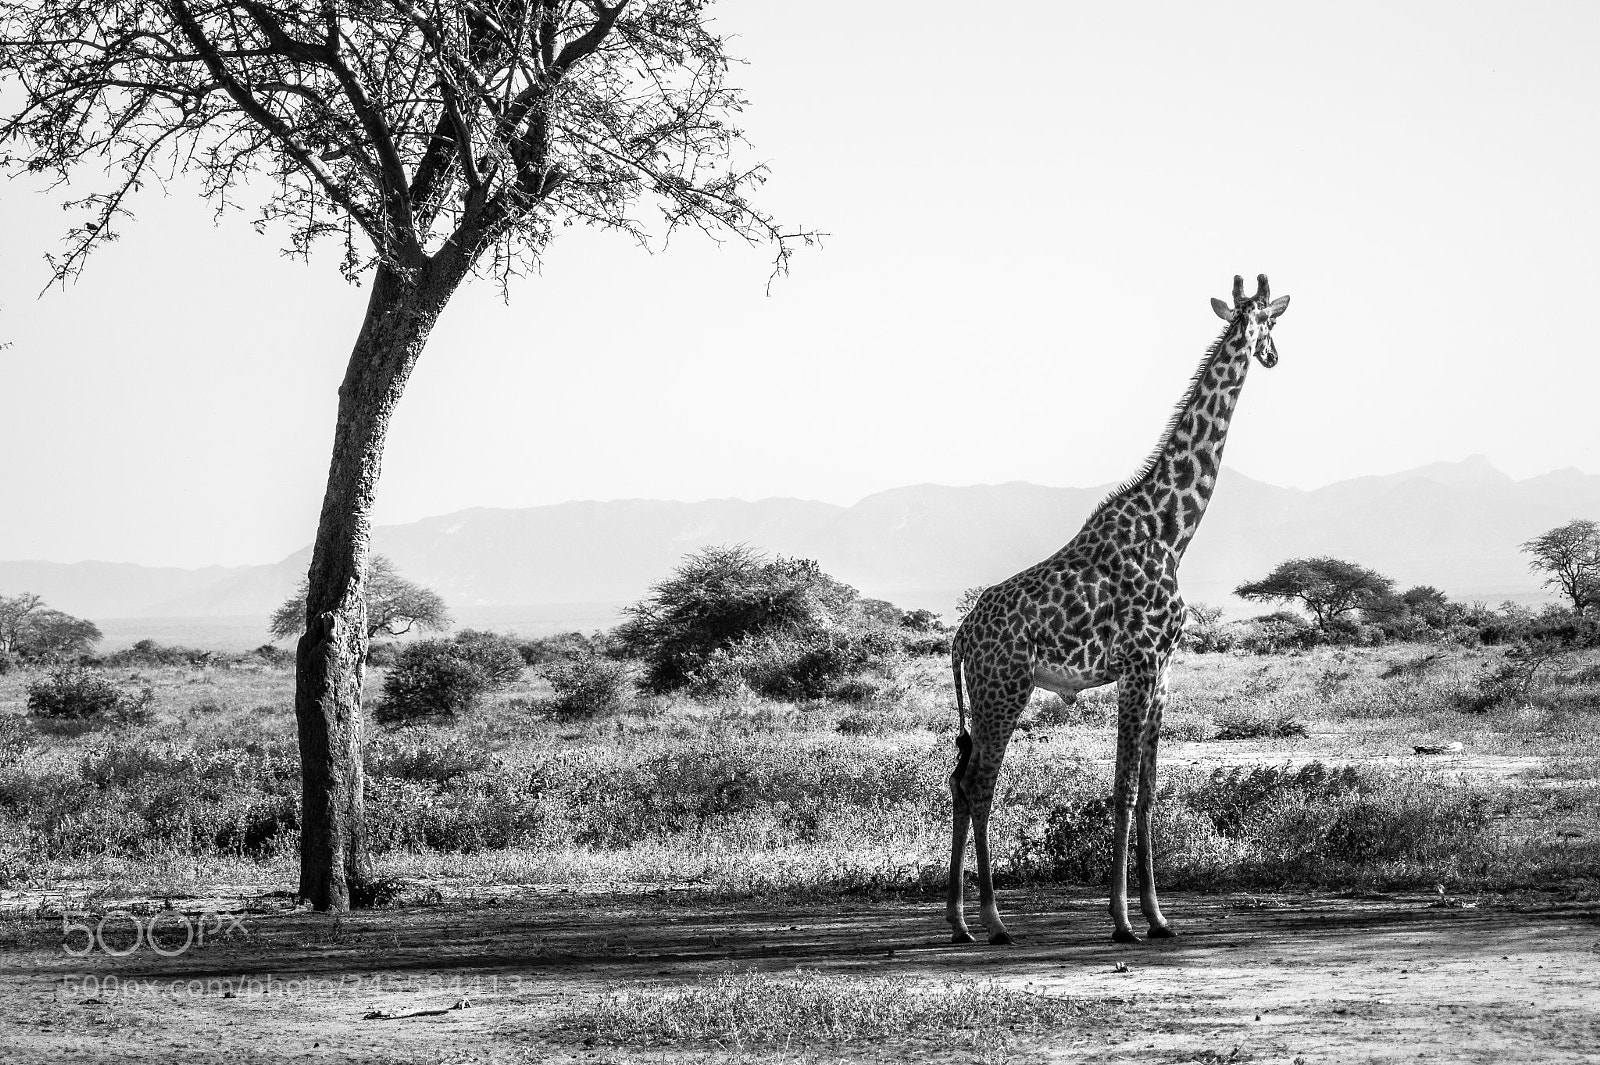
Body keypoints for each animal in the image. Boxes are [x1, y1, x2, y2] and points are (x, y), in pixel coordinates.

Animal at [947, 274, 1290, 945]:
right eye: (1265, 321)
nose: (1270, 354)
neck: (1173, 530)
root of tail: (960, 636)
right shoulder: (1138, 666)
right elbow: (1124, 790)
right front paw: (1123, 920)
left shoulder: (1161, 671)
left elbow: (1151, 789)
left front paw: (1159, 918)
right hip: (1005, 687)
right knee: (979, 784)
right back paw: (993, 922)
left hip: (988, 692)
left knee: (958, 778)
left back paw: (956, 921)